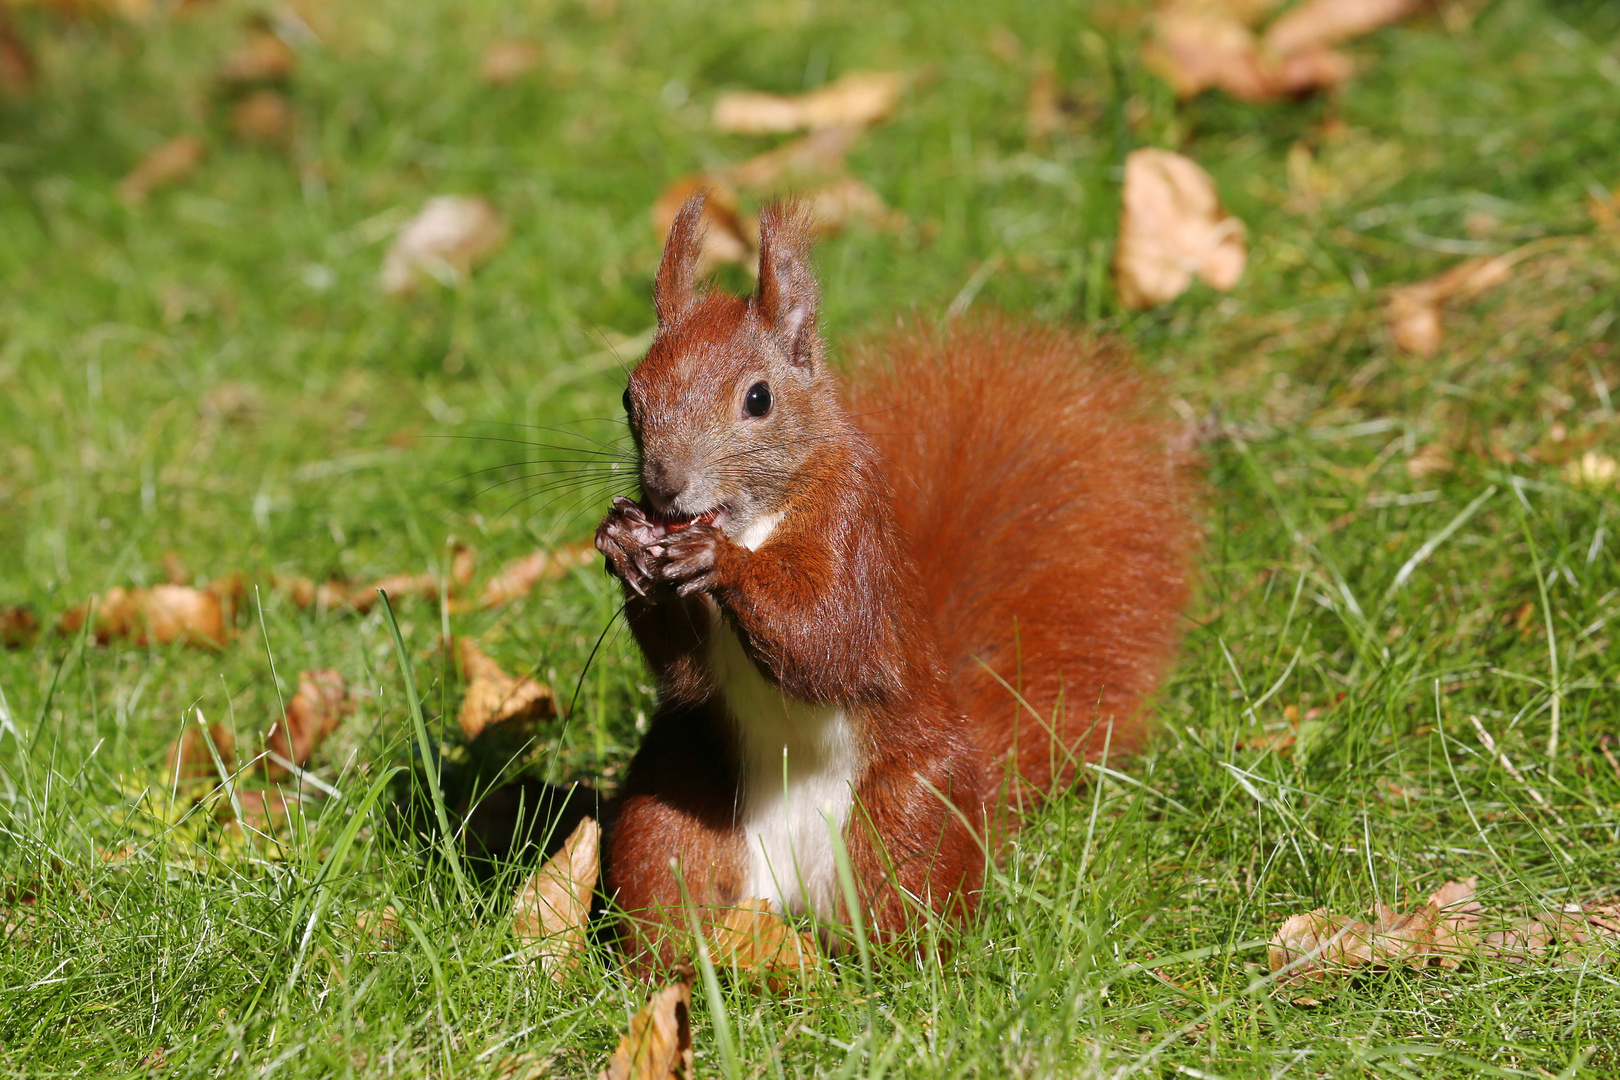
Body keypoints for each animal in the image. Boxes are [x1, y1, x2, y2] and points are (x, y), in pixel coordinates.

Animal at [599, 196, 1205, 971]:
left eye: (759, 399)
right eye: (629, 397)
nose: (665, 489)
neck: (756, 518)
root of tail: (788, 897)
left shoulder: (854, 535)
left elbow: (830, 641)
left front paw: (718, 560)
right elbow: (690, 677)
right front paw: (624, 545)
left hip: (908, 814)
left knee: (901, 915)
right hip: (674, 802)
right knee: (670, 892)